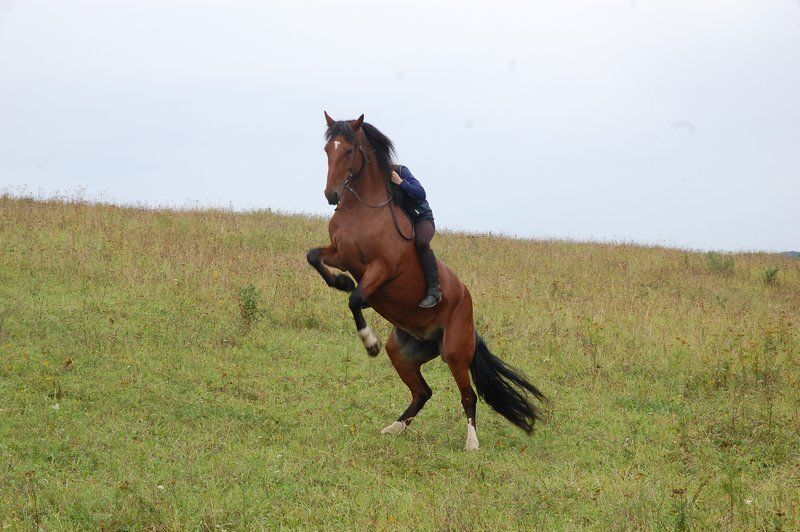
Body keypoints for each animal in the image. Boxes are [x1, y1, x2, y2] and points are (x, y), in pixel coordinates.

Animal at [304, 111, 544, 448]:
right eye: (328, 150)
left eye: (349, 151)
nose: (331, 195)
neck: (363, 210)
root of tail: (468, 312)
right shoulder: (341, 255)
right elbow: (314, 257)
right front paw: (341, 282)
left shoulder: (381, 269)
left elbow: (356, 299)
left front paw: (369, 342)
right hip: (403, 352)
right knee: (423, 392)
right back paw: (394, 427)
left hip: (455, 353)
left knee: (468, 397)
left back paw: (471, 443)